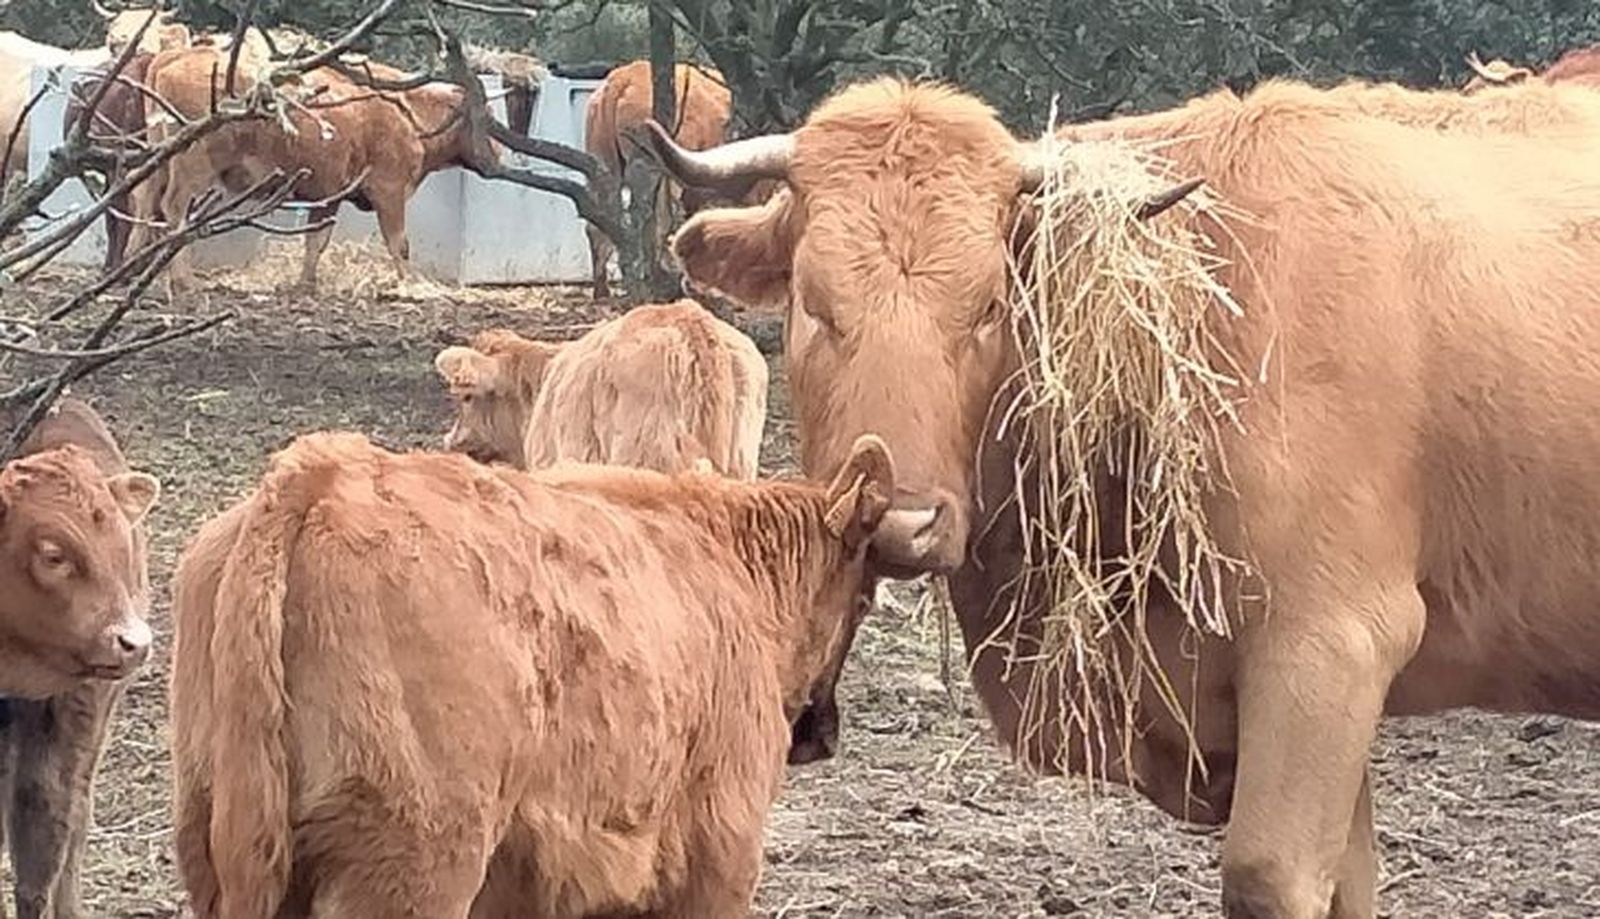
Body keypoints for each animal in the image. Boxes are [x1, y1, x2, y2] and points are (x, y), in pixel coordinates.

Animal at [128, 46, 493, 292]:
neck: (407, 112)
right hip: (193, 166)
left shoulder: (329, 195)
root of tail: (173, 56)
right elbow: (398, 242)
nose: (495, 156)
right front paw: (411, 285)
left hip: (157, 165)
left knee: (144, 204)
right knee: (173, 208)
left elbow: (316, 241)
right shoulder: (389, 191)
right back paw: (183, 280)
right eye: (486, 116)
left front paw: (306, 284)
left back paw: (129, 272)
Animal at [168, 429, 890, 917]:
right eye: (861, 600)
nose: (822, 732)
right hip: (414, 858)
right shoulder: (721, 849)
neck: (722, 560)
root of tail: (319, 473)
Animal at [582, 59, 735, 299]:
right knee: (642, 213)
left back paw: (604, 289)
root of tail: (620, 81)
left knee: (602, 217)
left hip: (602, 157)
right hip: (648, 161)